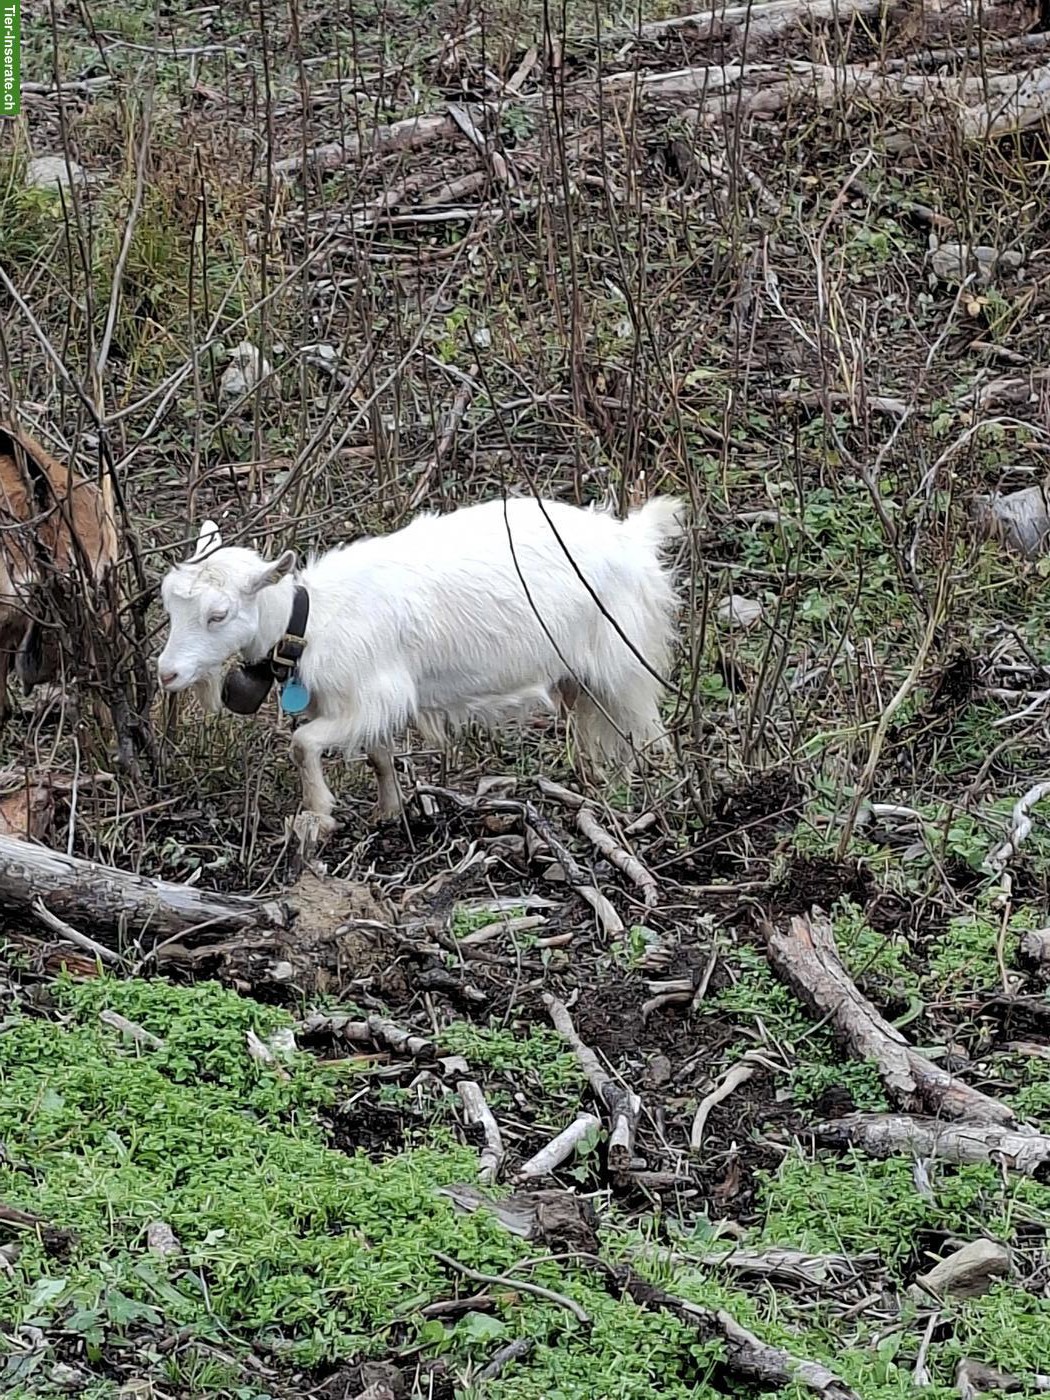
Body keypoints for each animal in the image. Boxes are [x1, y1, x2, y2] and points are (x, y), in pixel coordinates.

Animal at [157, 494, 683, 848]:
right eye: (170, 604)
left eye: (218, 615)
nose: (166, 674)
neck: (309, 621)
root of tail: (634, 537)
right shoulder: (363, 706)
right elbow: (379, 755)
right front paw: (389, 811)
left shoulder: (372, 696)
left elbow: (303, 744)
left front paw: (320, 814)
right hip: (581, 679)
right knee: (603, 730)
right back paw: (600, 784)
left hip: (623, 660)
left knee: (645, 731)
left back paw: (649, 795)